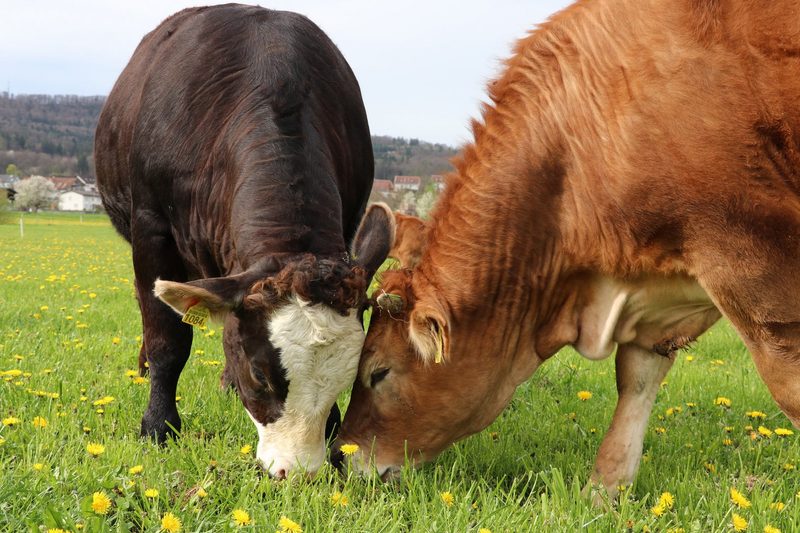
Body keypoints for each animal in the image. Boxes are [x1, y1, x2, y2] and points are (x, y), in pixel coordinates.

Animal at [94, 4, 392, 479]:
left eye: (348, 378)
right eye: (260, 375)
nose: (298, 472)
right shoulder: (151, 229)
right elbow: (168, 339)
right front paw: (158, 426)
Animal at [336, 0, 800, 498]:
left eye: (378, 372)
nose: (340, 456)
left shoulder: (750, 258)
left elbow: (788, 387)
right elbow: (636, 377)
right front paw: (604, 490)